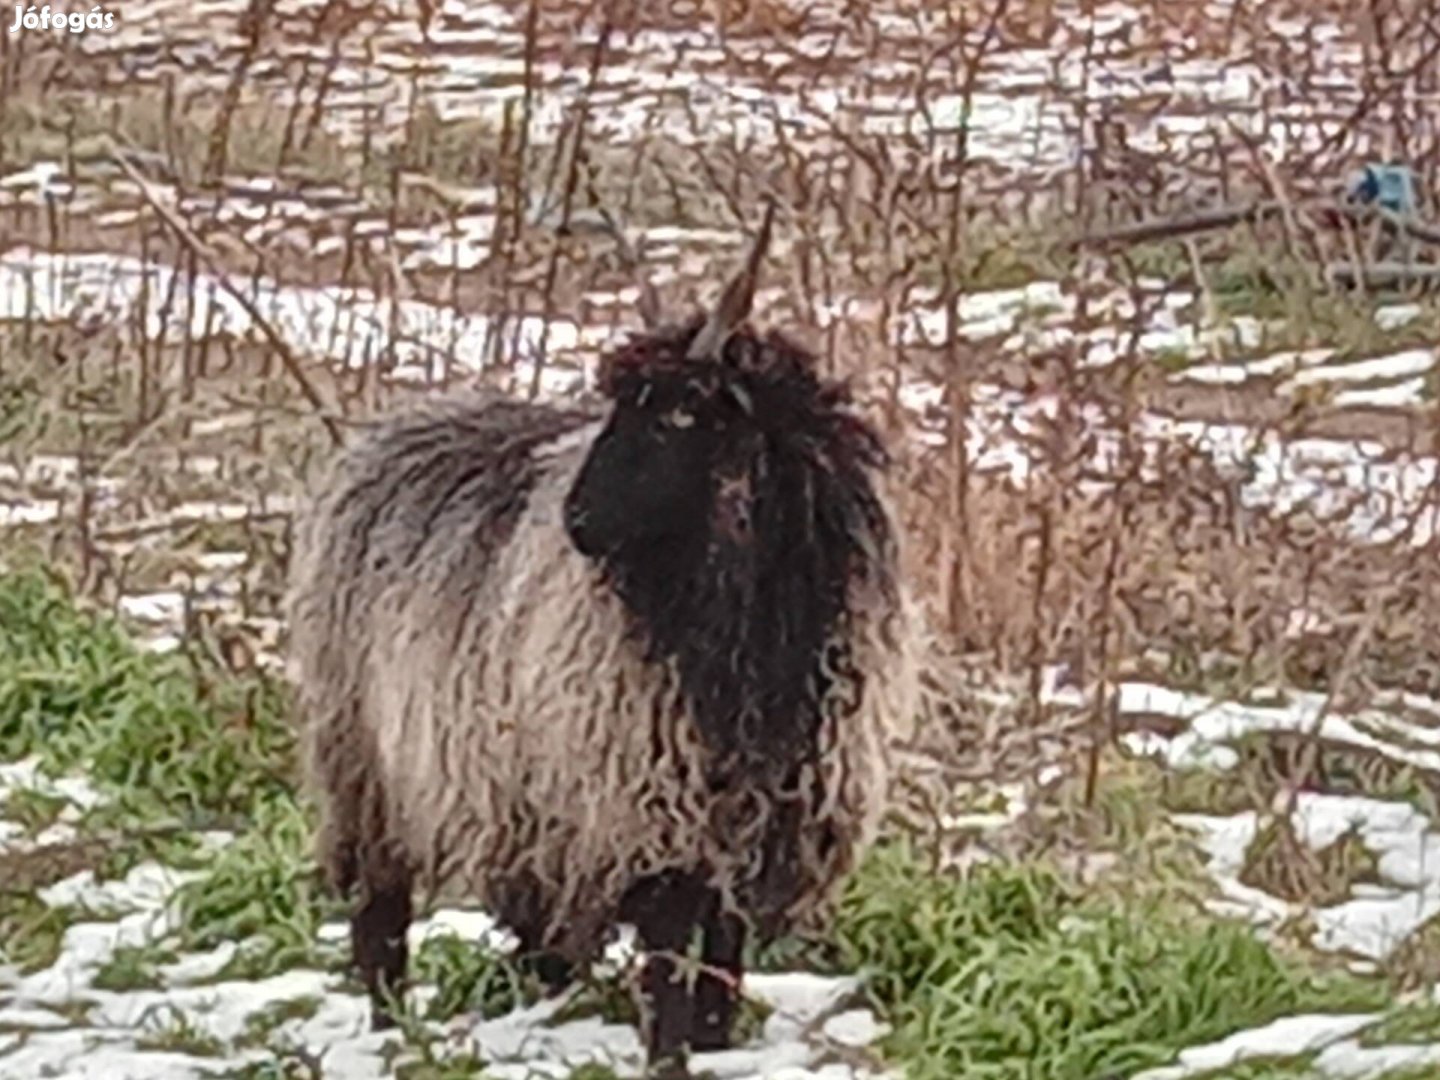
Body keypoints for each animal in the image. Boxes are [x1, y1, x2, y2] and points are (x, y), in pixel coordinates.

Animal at [283, 207, 921, 1077]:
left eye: (682, 413)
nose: (577, 522)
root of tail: (388, 430)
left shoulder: (756, 818)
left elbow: (722, 952)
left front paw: (713, 1043)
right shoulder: (646, 807)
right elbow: (667, 954)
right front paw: (670, 1056)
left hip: (524, 798)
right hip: (369, 761)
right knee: (380, 913)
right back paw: (391, 1032)